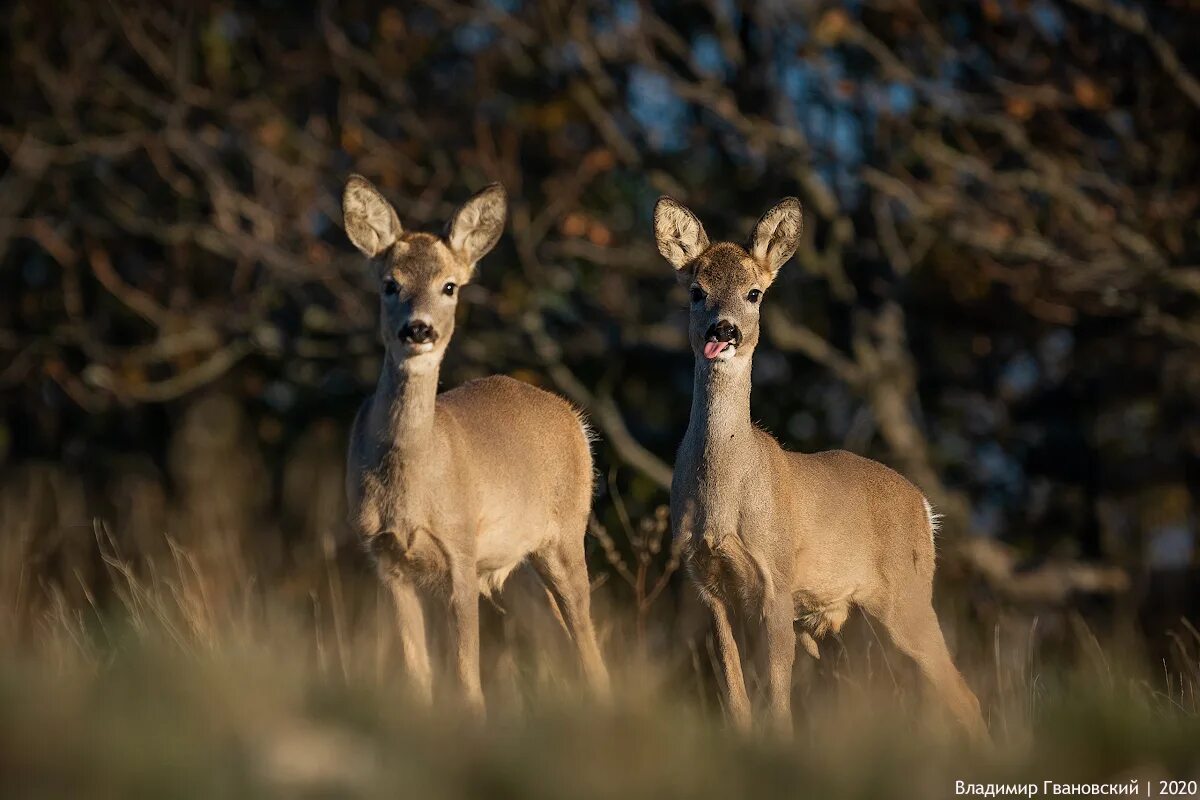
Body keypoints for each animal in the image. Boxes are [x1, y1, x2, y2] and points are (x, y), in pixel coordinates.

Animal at [345, 176, 614, 714]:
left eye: (450, 286)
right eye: (389, 284)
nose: (419, 328)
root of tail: (575, 421)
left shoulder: (461, 550)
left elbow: (467, 680)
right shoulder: (385, 559)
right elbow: (418, 675)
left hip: (566, 535)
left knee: (590, 651)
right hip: (523, 564)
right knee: (564, 643)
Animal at [657, 191, 984, 738]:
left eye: (754, 293)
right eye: (697, 292)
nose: (724, 330)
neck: (725, 492)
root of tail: (924, 507)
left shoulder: (777, 575)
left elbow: (777, 696)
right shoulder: (706, 585)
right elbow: (735, 696)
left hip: (908, 594)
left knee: (963, 695)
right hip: (848, 624)